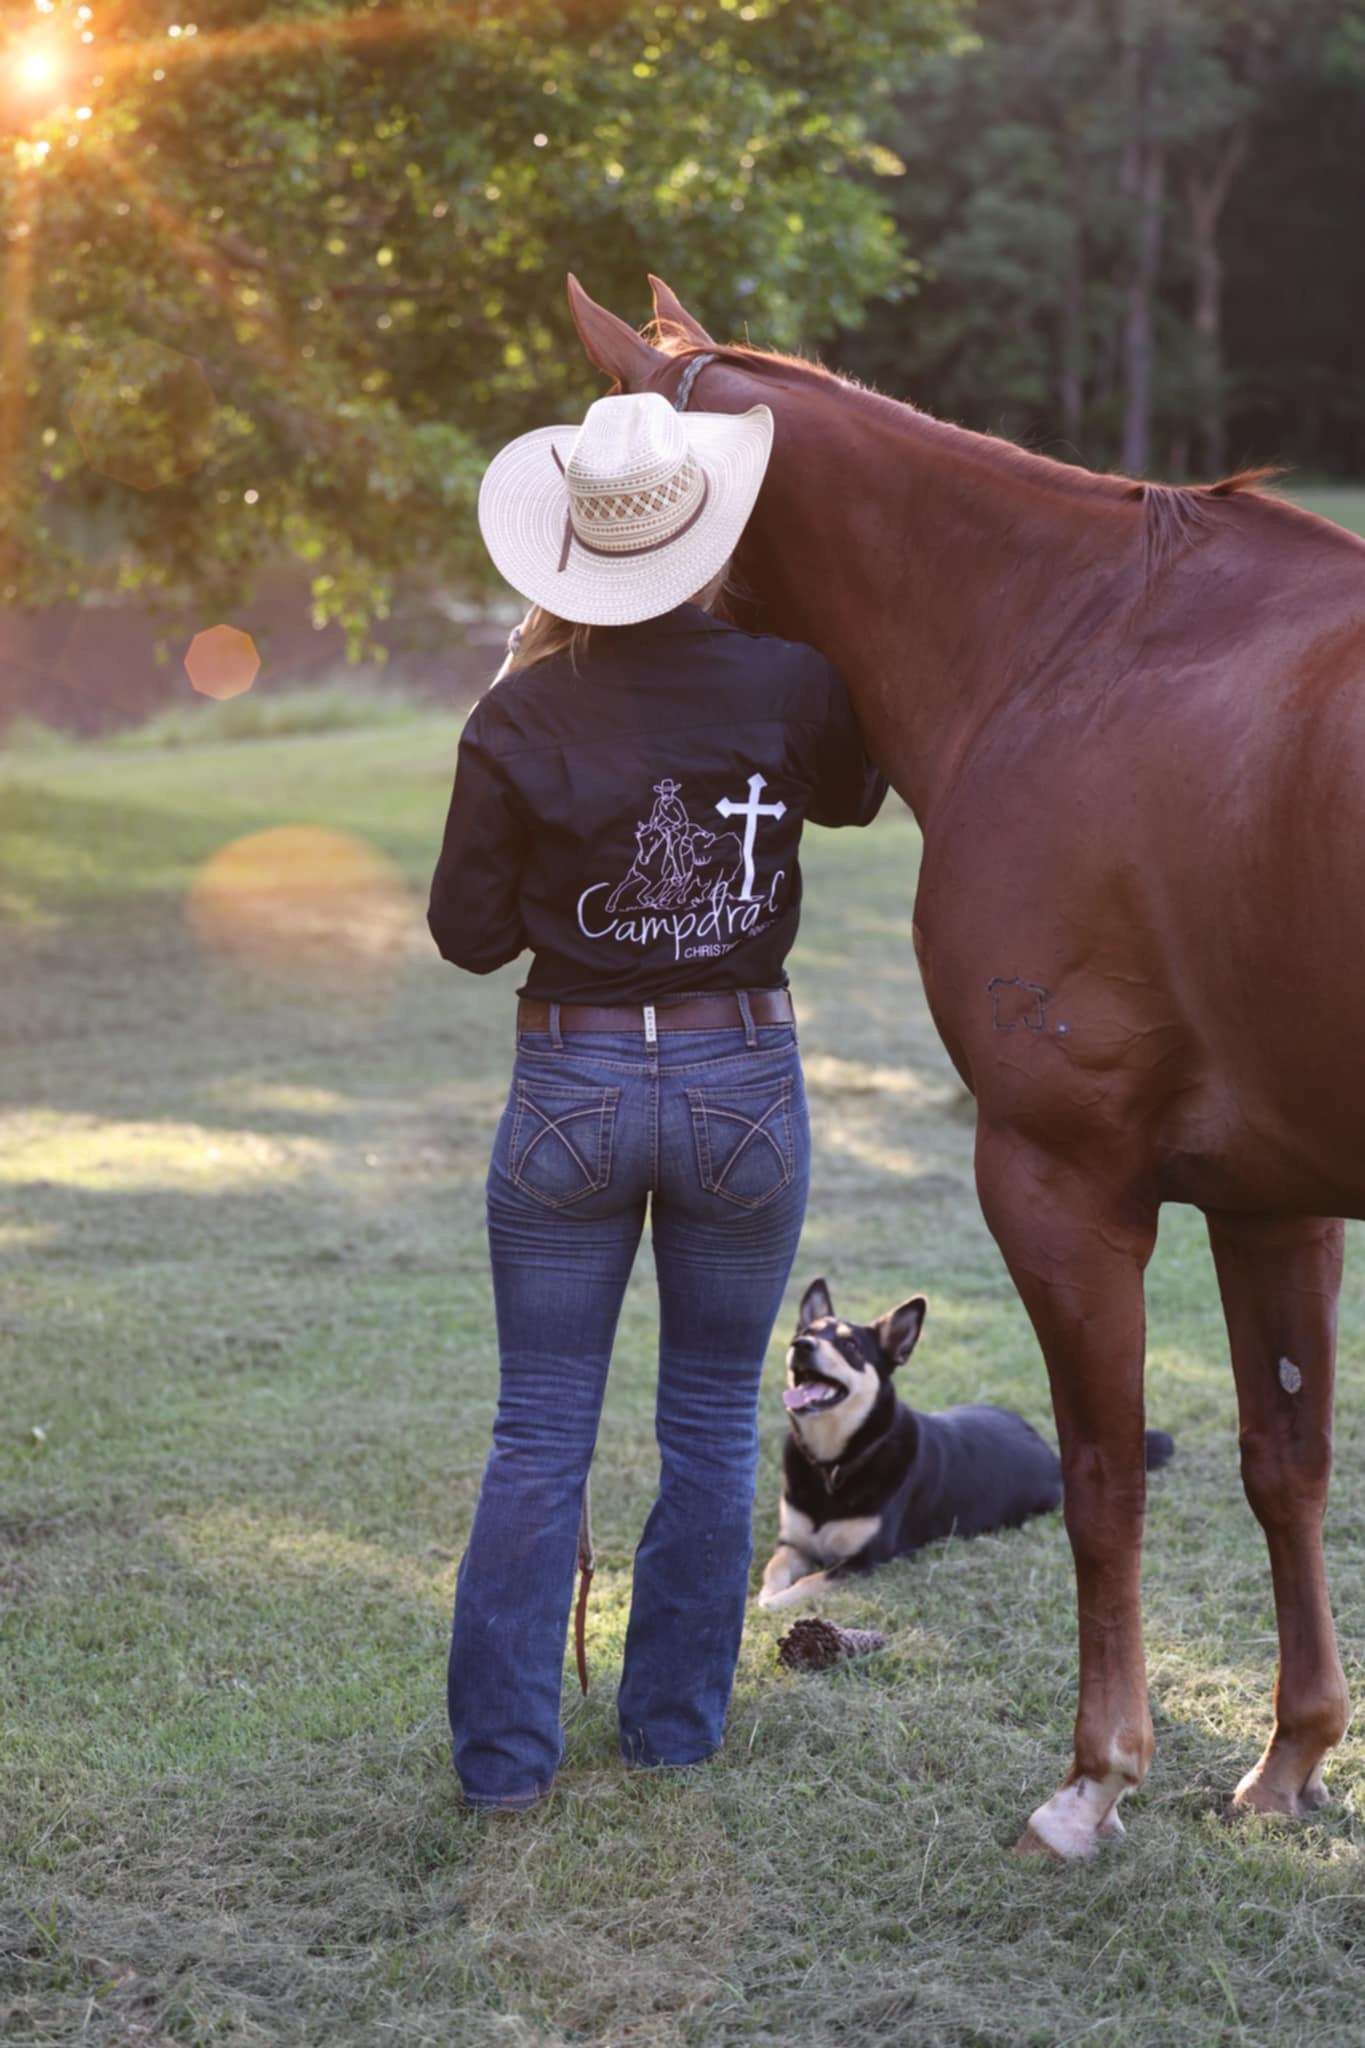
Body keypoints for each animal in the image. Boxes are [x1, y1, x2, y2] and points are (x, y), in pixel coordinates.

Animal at [757, 1277, 1178, 1597]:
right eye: (807, 1333)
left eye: (850, 1345)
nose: (800, 1345)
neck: (835, 1461)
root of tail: (1048, 1450)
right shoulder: (792, 1544)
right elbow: (772, 1572)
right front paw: (764, 1597)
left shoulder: (867, 1560)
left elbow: (806, 1585)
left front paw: (773, 1606)